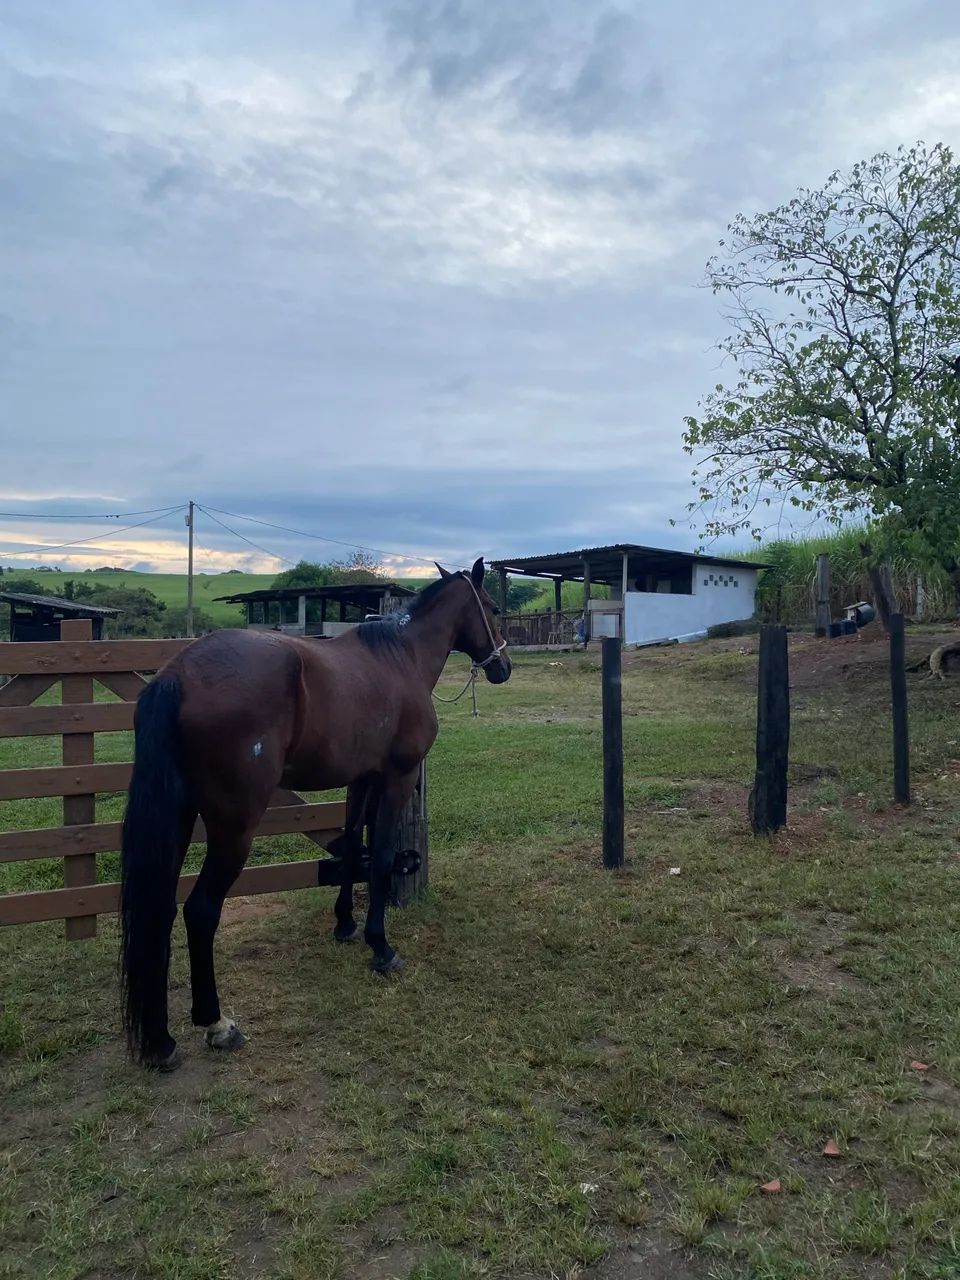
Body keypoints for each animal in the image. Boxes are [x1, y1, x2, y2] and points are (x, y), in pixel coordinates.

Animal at [119, 558, 511, 1070]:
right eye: (493, 608)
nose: (503, 666)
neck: (400, 660)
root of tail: (179, 675)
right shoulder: (397, 778)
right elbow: (380, 858)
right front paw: (381, 946)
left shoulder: (361, 779)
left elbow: (350, 847)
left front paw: (344, 924)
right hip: (234, 828)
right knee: (200, 910)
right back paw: (215, 1023)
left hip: (182, 818)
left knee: (160, 911)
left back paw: (161, 1039)